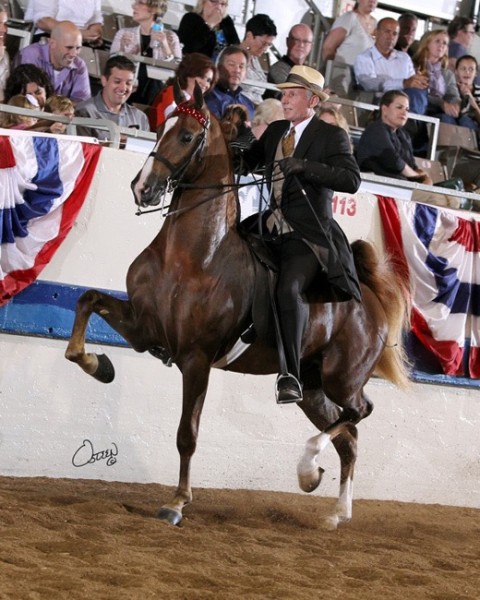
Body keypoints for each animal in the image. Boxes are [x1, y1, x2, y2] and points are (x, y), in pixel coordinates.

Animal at [65, 85, 410, 528]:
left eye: (186, 135)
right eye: (159, 128)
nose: (142, 188)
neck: (193, 255)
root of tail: (367, 298)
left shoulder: (196, 358)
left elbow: (187, 433)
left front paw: (177, 503)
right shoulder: (144, 328)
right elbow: (86, 302)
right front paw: (99, 365)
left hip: (342, 378)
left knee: (358, 413)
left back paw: (309, 467)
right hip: (313, 388)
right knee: (347, 436)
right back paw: (334, 510)